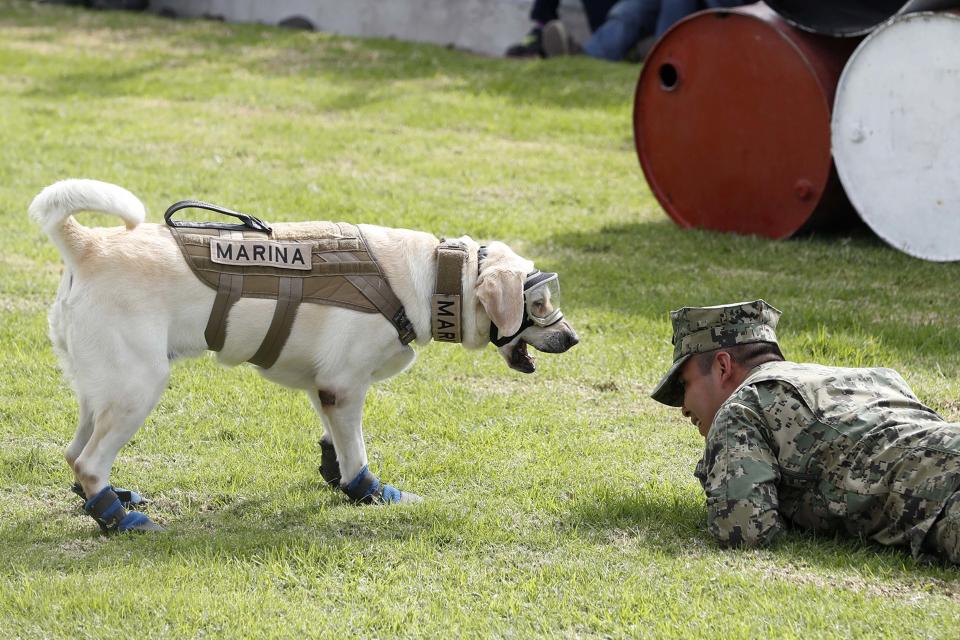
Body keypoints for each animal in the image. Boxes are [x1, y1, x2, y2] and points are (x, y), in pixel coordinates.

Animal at [28, 178, 576, 532]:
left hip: (101, 388)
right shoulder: (346, 387)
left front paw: (337, 481)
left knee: (74, 452)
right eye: (538, 302)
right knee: (90, 461)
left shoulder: (325, 385)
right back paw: (121, 521)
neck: (432, 277)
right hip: (138, 388)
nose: (573, 339)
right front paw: (368, 492)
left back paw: (109, 501)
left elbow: (334, 443)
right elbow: (357, 452)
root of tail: (89, 245)